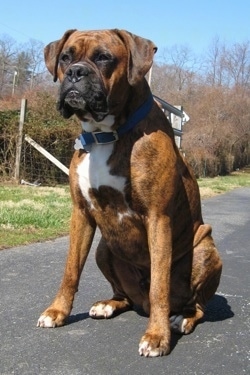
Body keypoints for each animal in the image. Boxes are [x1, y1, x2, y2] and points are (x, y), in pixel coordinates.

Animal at [36, 29, 222, 358]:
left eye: (104, 57)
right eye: (66, 57)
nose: (75, 72)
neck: (105, 133)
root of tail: (140, 304)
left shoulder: (158, 218)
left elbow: (159, 285)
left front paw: (157, 337)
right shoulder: (81, 214)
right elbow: (70, 270)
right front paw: (57, 312)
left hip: (205, 248)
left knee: (195, 304)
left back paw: (181, 319)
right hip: (104, 248)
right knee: (124, 295)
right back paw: (108, 304)